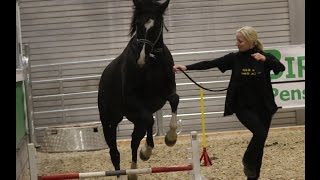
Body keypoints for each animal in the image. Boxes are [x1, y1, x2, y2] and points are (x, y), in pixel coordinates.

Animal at [97, 0, 179, 179]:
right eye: (137, 24)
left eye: (157, 25)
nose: (141, 59)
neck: (153, 64)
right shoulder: (133, 100)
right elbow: (149, 120)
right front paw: (152, 147)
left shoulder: (164, 93)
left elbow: (174, 100)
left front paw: (170, 138)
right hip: (110, 122)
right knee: (115, 152)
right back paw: (129, 169)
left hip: (135, 119)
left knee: (136, 138)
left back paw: (139, 161)